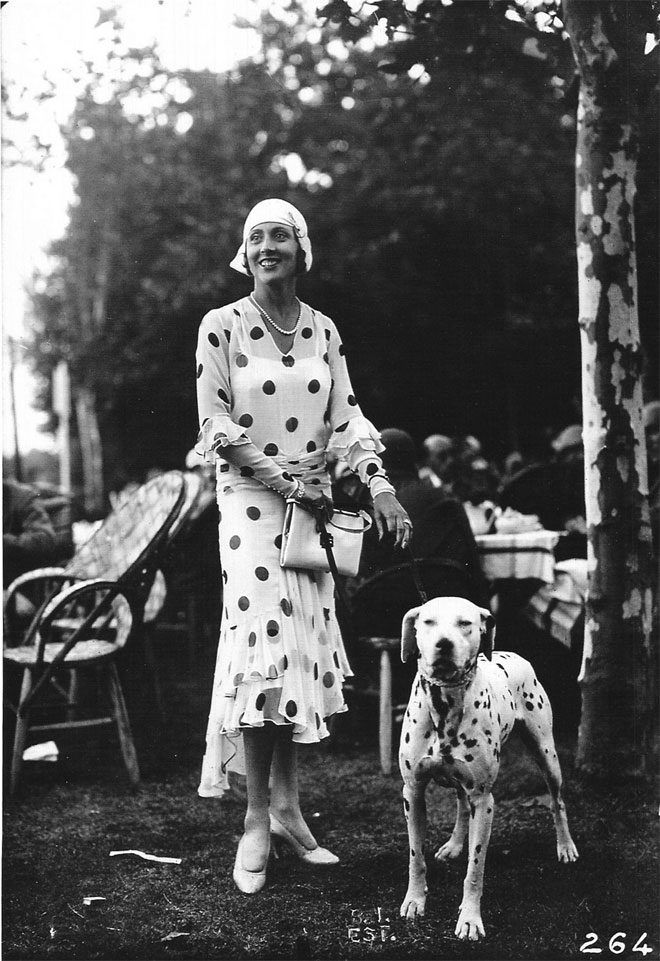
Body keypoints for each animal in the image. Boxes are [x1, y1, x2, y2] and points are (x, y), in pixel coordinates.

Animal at [398, 596, 578, 941]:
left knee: (557, 801)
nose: (444, 644)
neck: (446, 703)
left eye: (465, 623)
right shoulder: (413, 793)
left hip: (547, 754)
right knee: (459, 802)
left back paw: (565, 847)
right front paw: (414, 901)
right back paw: (455, 844)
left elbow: (475, 867)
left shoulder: (484, 801)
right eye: (428, 622)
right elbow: (415, 857)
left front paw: (469, 918)